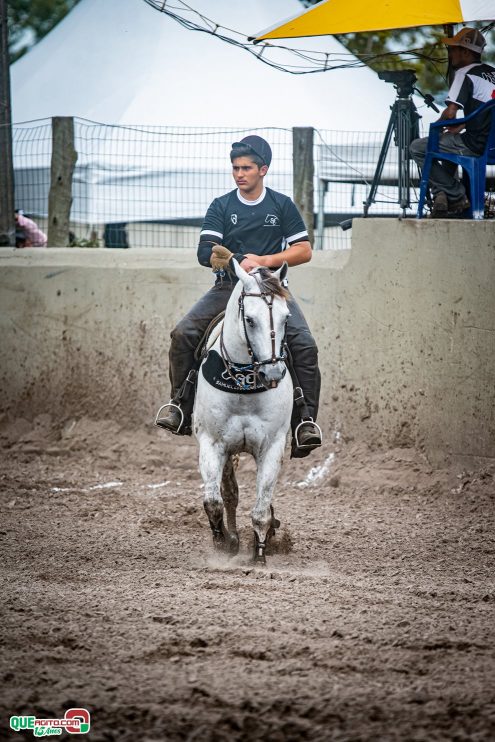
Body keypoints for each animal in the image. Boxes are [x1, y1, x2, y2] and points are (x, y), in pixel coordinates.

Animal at [195, 262, 294, 564]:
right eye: (249, 320)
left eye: (286, 318)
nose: (272, 374)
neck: (244, 385)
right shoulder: (212, 443)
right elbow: (214, 500)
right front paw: (222, 541)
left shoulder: (272, 446)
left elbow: (261, 507)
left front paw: (259, 552)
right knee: (229, 494)